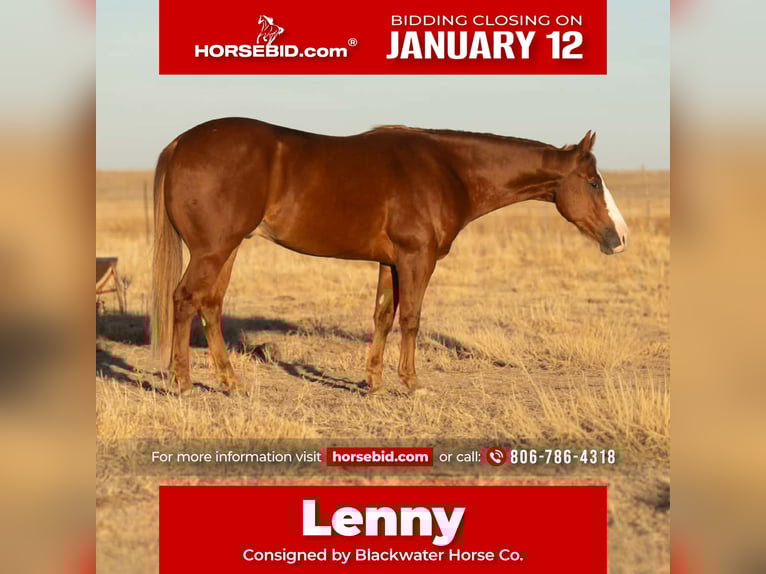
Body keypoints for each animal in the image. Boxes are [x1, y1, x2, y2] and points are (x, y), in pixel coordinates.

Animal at [151, 118, 629, 395]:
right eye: (592, 182)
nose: (620, 237)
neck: (448, 170)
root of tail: (180, 143)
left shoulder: (391, 262)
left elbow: (383, 316)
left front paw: (375, 384)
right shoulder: (418, 259)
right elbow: (412, 319)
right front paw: (411, 384)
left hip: (228, 249)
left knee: (210, 306)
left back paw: (230, 382)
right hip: (213, 250)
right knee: (184, 300)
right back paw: (184, 384)